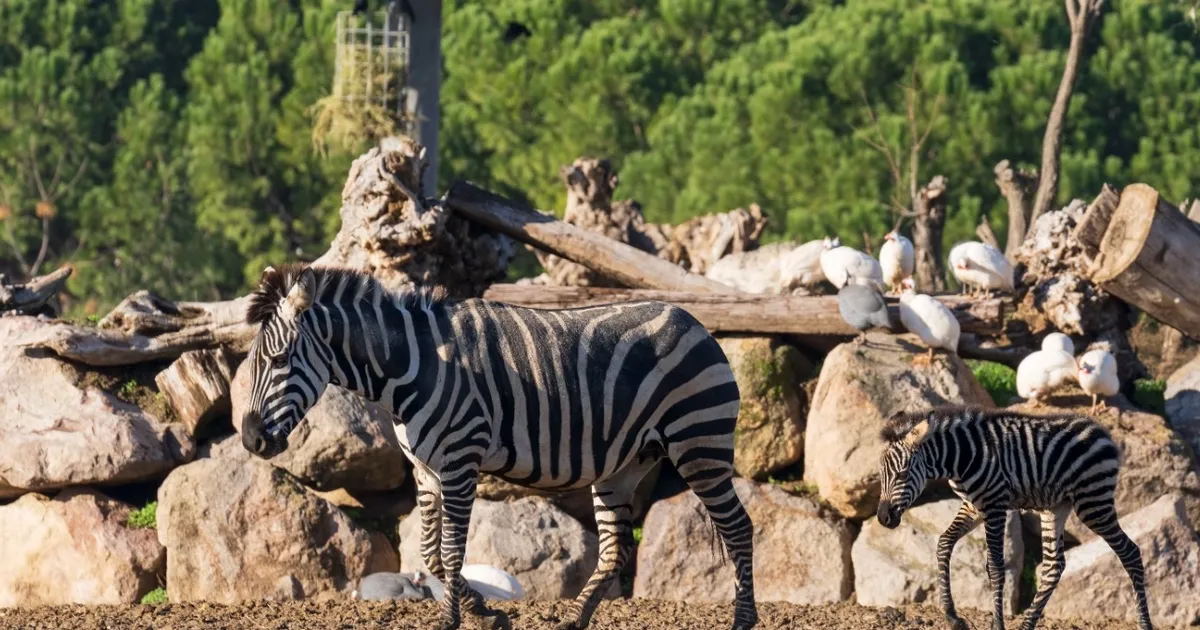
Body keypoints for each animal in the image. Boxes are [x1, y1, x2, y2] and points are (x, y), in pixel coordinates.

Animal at [236, 265, 758, 628]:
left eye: (279, 360)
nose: (250, 438)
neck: (410, 367)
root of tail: (693, 320)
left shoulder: (459, 462)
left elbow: (450, 552)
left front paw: (452, 621)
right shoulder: (426, 471)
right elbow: (428, 554)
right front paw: (487, 612)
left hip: (700, 442)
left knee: (738, 528)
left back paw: (743, 620)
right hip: (624, 466)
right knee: (615, 547)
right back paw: (574, 620)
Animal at [878, 403, 1147, 628]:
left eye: (902, 474)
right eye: (881, 475)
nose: (883, 518)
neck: (964, 457)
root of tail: (1103, 432)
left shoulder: (995, 505)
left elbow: (996, 566)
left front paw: (997, 625)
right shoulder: (973, 506)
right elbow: (944, 543)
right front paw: (953, 617)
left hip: (1093, 503)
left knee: (1130, 553)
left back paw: (1144, 623)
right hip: (1056, 507)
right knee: (1054, 566)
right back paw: (1027, 625)